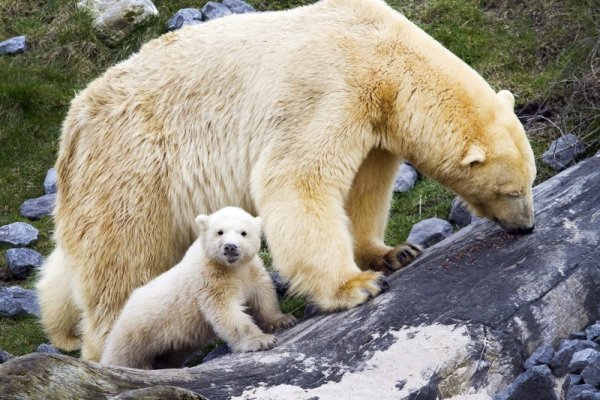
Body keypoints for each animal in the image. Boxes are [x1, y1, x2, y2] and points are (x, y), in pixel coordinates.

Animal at [37, 0, 536, 360]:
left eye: (529, 182)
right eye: (511, 190)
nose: (527, 226)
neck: (381, 51)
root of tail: (72, 124)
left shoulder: (373, 119)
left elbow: (365, 187)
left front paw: (392, 252)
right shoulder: (330, 90)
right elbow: (299, 180)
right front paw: (355, 286)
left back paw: (64, 330)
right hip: (134, 170)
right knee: (121, 264)